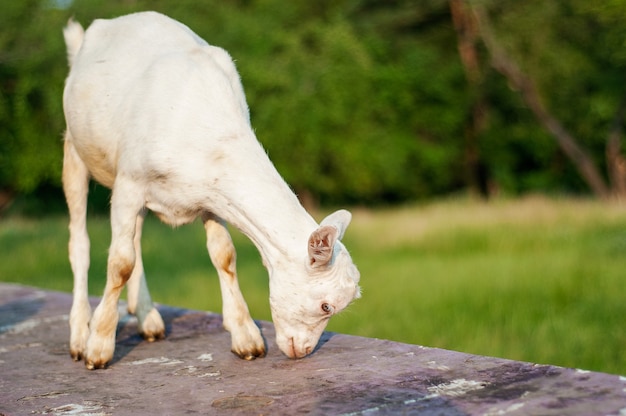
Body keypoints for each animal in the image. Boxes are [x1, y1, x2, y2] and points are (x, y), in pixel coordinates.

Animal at [62, 11, 360, 368]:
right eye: (326, 305)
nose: (302, 351)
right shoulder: (129, 183)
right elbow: (120, 263)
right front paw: (99, 347)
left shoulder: (212, 196)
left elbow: (224, 255)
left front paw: (245, 337)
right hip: (75, 150)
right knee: (81, 242)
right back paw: (80, 334)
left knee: (135, 238)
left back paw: (147, 317)